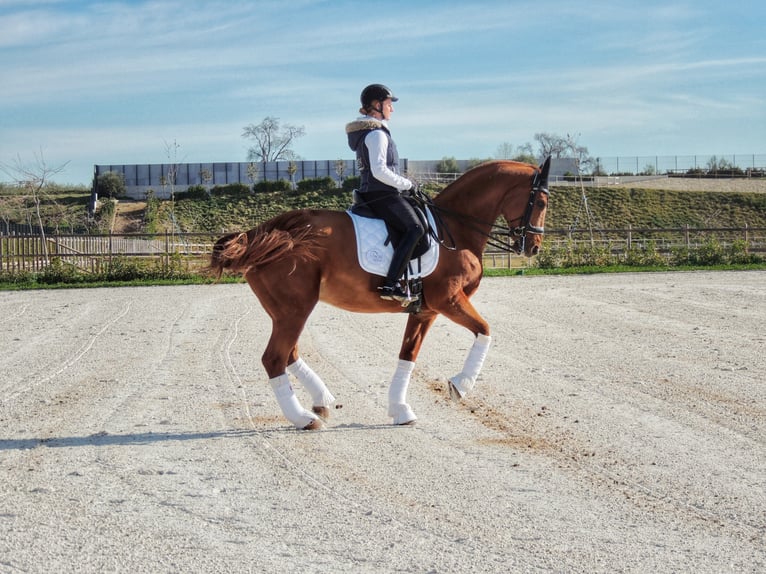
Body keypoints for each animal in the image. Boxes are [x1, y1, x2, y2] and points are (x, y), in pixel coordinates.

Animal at [210, 158, 552, 432]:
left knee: (289, 354)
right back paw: (304, 418)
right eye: (541, 203)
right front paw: (459, 386)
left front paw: (401, 409)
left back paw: (322, 401)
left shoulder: (425, 311)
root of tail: (262, 233)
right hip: (295, 310)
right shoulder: (449, 300)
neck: (455, 228)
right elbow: (485, 331)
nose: (534, 247)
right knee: (274, 358)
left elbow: (408, 356)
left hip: (285, 312)